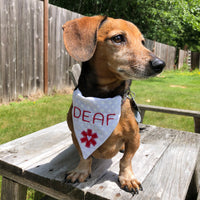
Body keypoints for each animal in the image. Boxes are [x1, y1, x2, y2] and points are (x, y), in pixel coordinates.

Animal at [62, 15, 164, 194]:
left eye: (142, 42)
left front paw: (128, 178)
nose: (160, 64)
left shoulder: (134, 138)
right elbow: (84, 155)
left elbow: (126, 160)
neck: (103, 98)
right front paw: (81, 171)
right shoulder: (75, 135)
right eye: (118, 38)